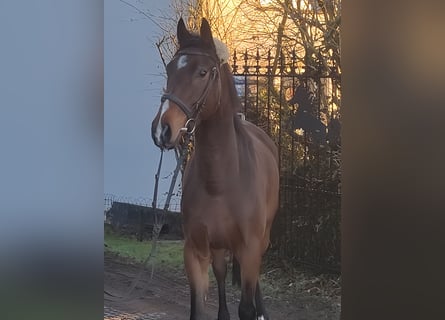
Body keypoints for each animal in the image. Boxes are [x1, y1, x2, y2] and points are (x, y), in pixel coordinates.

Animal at [152, 18, 278, 320]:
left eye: (202, 72)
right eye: (169, 69)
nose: (163, 129)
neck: (220, 181)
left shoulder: (250, 248)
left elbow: (246, 307)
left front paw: (255, 311)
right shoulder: (195, 251)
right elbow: (198, 308)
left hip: (262, 240)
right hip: (218, 247)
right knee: (221, 274)